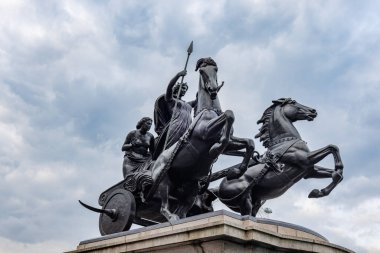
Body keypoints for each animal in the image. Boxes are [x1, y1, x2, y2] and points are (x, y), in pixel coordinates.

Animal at [149, 57, 255, 221]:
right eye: (201, 71)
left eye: (215, 69)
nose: (212, 90)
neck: (210, 111)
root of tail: (155, 163)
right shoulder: (207, 132)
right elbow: (229, 116)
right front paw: (215, 150)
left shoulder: (230, 142)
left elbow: (249, 143)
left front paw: (237, 171)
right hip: (164, 182)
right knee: (164, 207)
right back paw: (172, 217)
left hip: (191, 189)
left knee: (182, 211)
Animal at [214, 98, 344, 216]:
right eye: (293, 102)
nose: (313, 111)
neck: (285, 140)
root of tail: (218, 189)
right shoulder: (305, 159)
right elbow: (332, 147)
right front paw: (319, 190)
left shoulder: (309, 171)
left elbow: (337, 175)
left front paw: (318, 192)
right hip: (245, 201)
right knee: (247, 216)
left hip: (255, 201)